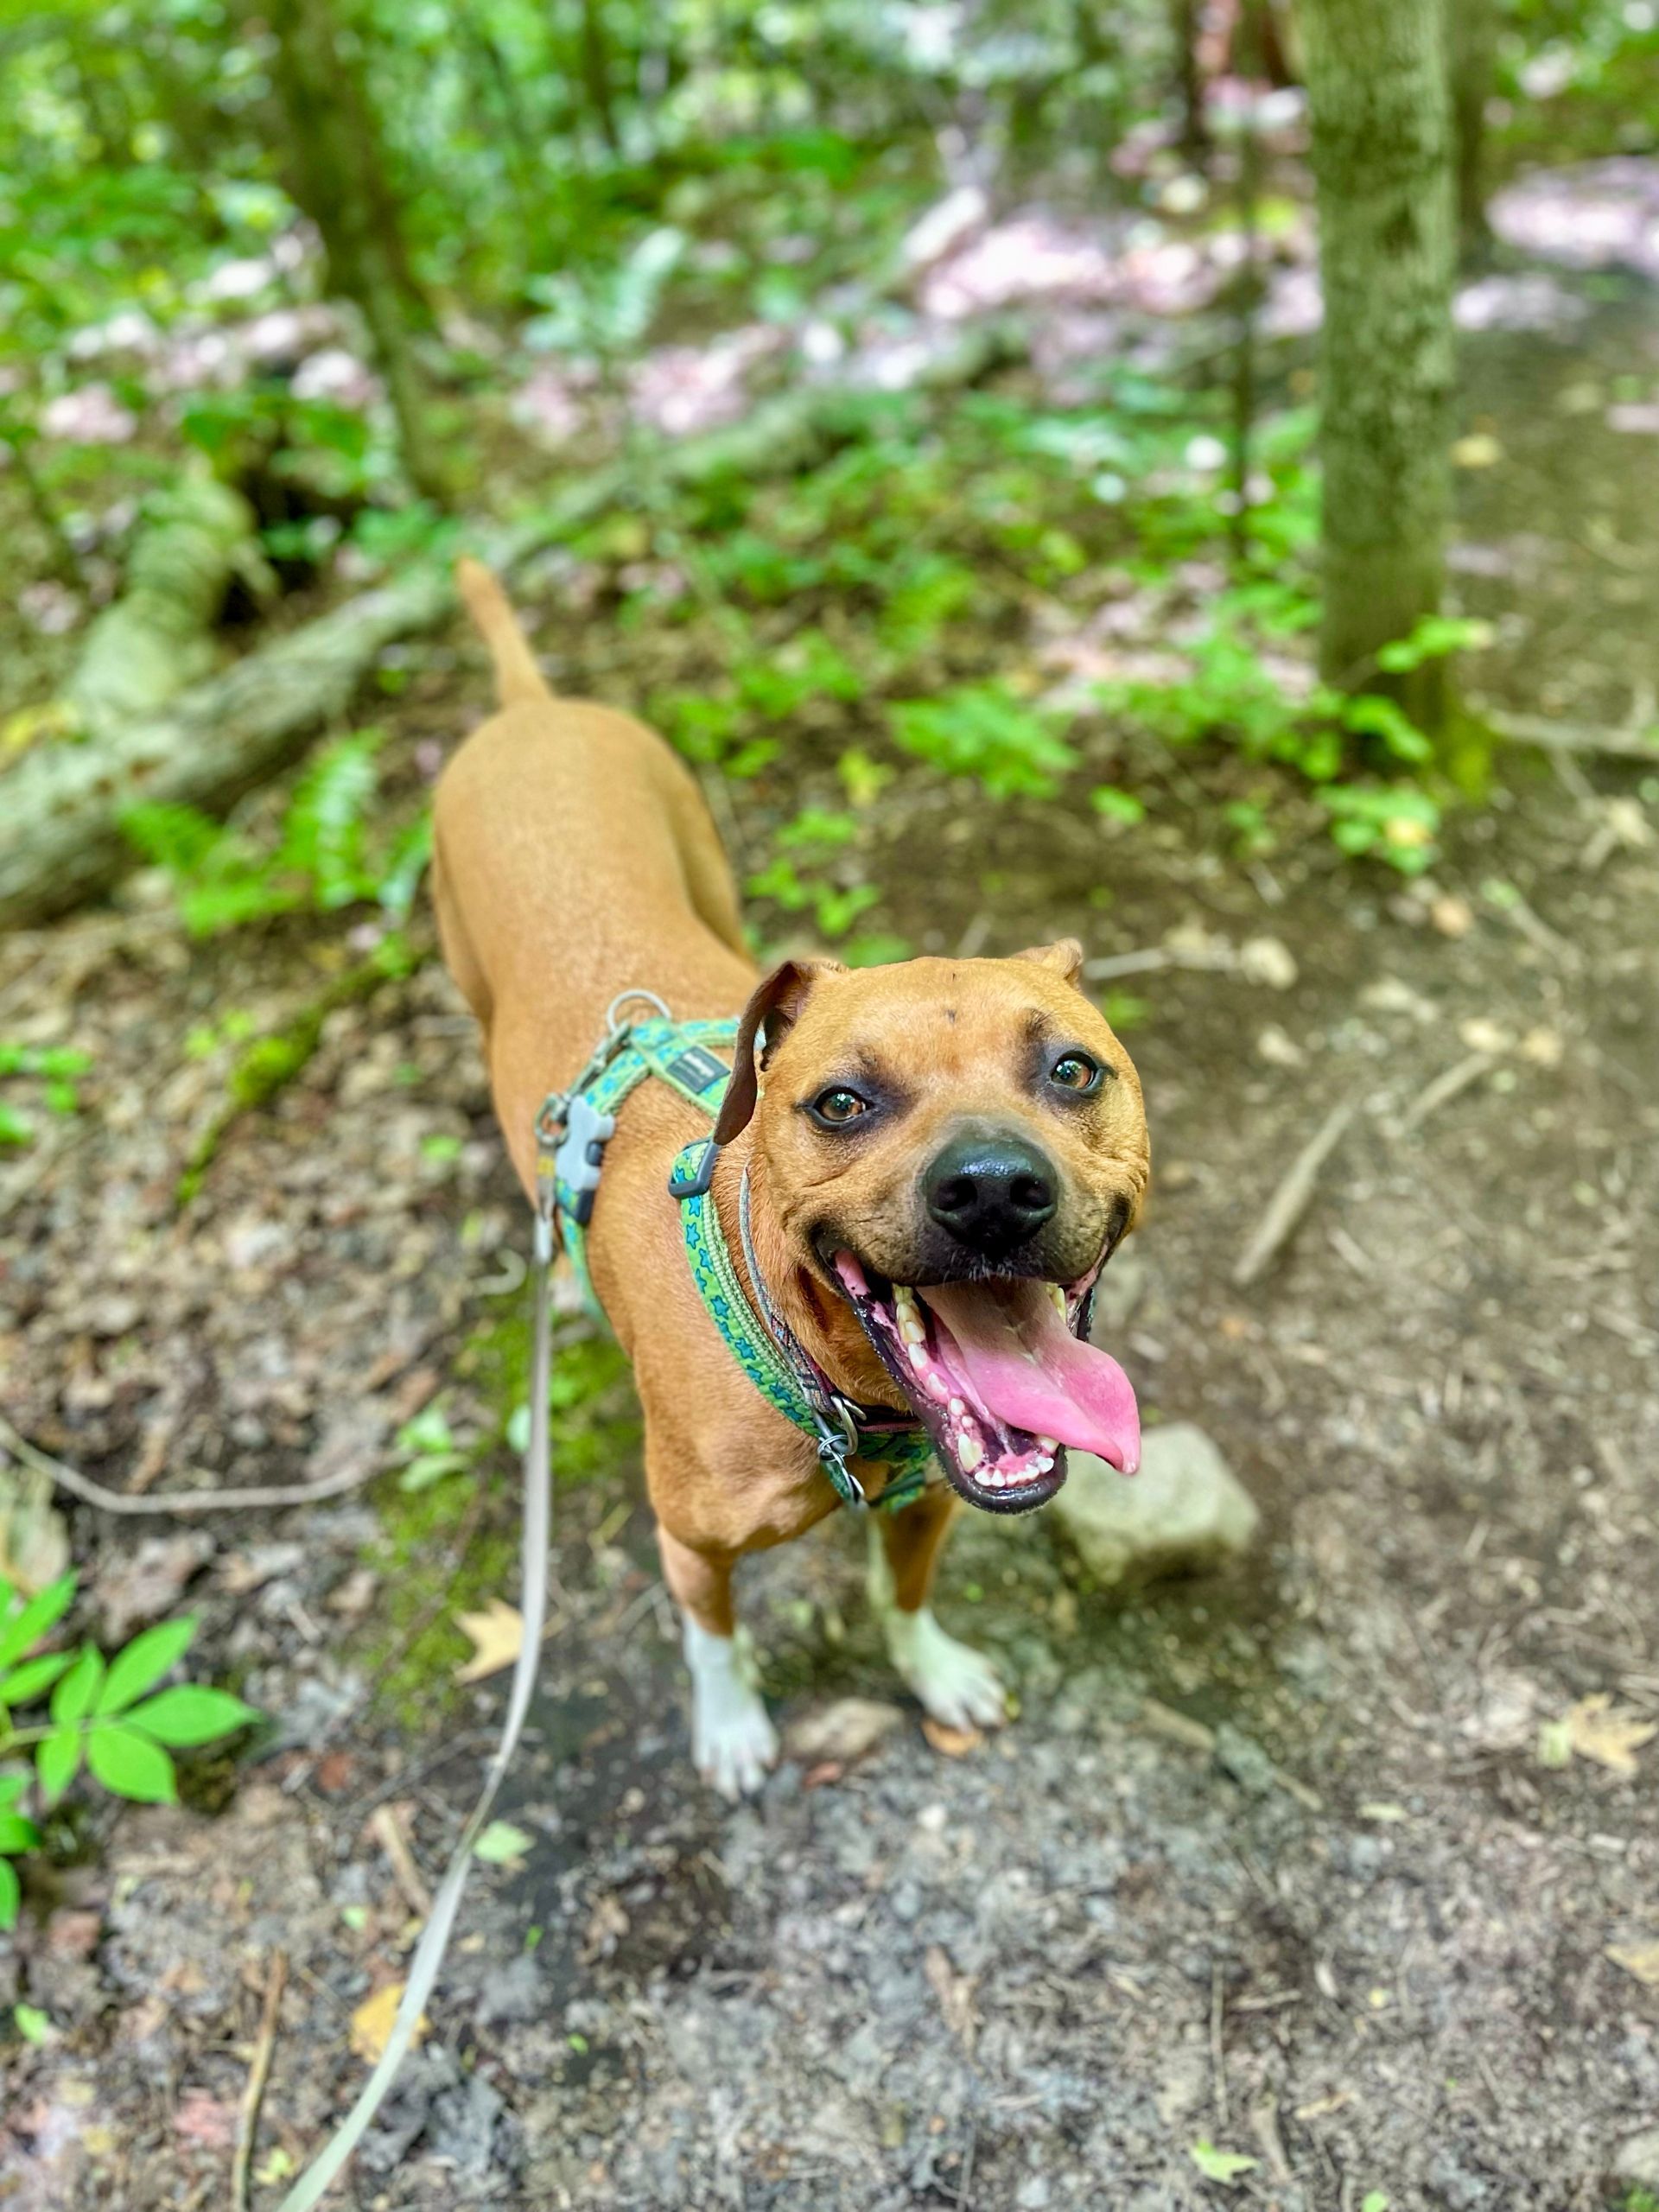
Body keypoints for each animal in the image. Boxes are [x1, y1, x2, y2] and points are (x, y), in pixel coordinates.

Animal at [435, 566, 1150, 1796]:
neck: (838, 1393)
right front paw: (729, 1728)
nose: (993, 1190)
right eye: (841, 1103)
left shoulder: (928, 1509)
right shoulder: (691, 1542)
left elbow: (903, 1598)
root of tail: (532, 709)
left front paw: (934, 1670)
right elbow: (714, 1640)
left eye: (1072, 1069)